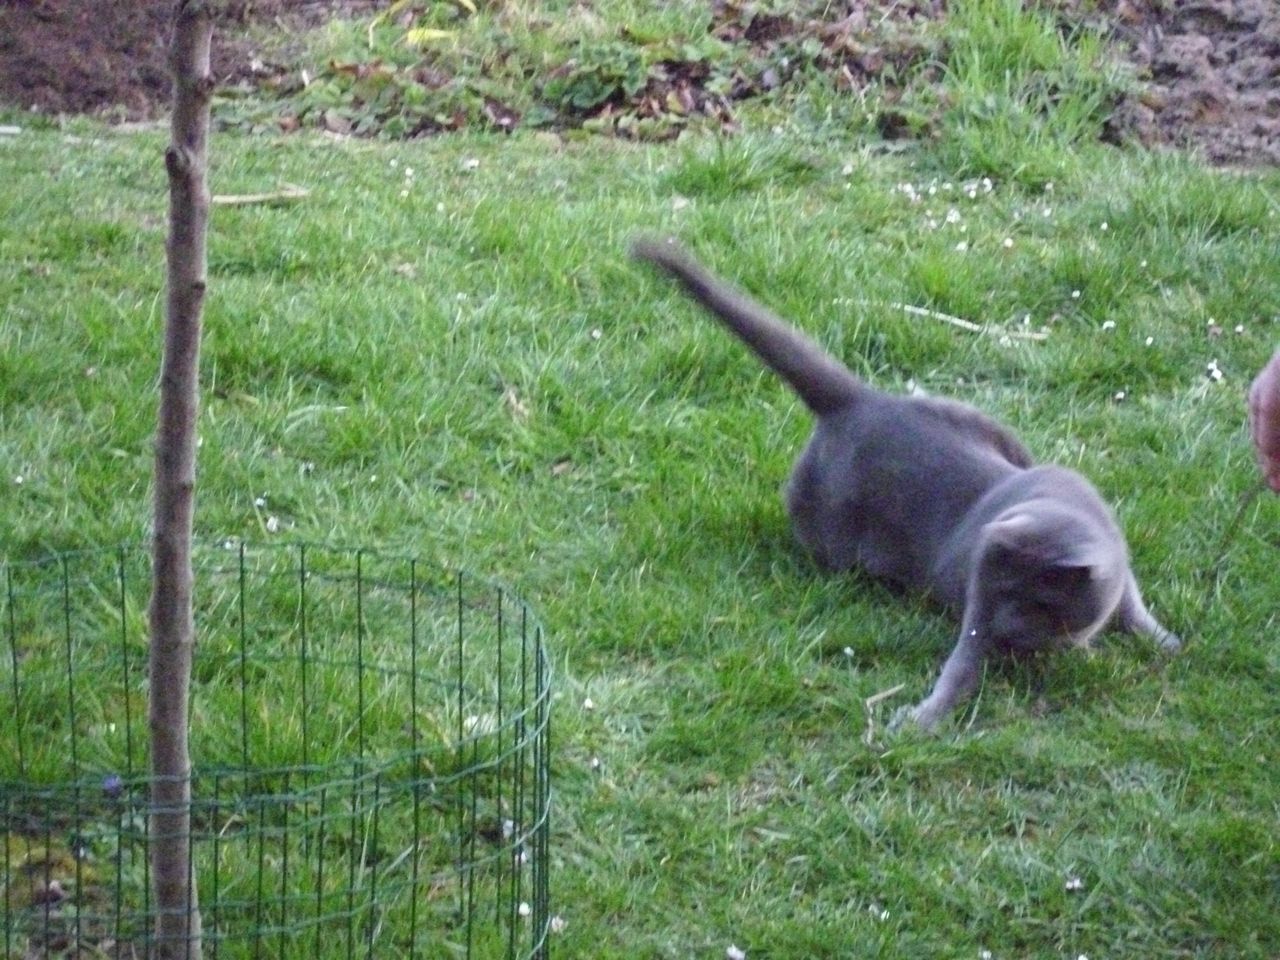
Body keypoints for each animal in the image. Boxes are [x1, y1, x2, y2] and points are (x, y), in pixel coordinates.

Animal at [631, 237, 1180, 731]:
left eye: (1037, 600)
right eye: (999, 594)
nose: (1004, 626)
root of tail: (857, 398)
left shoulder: (1118, 572)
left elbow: (1135, 608)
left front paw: (1165, 642)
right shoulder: (977, 607)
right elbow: (961, 668)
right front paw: (919, 721)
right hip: (834, 537)